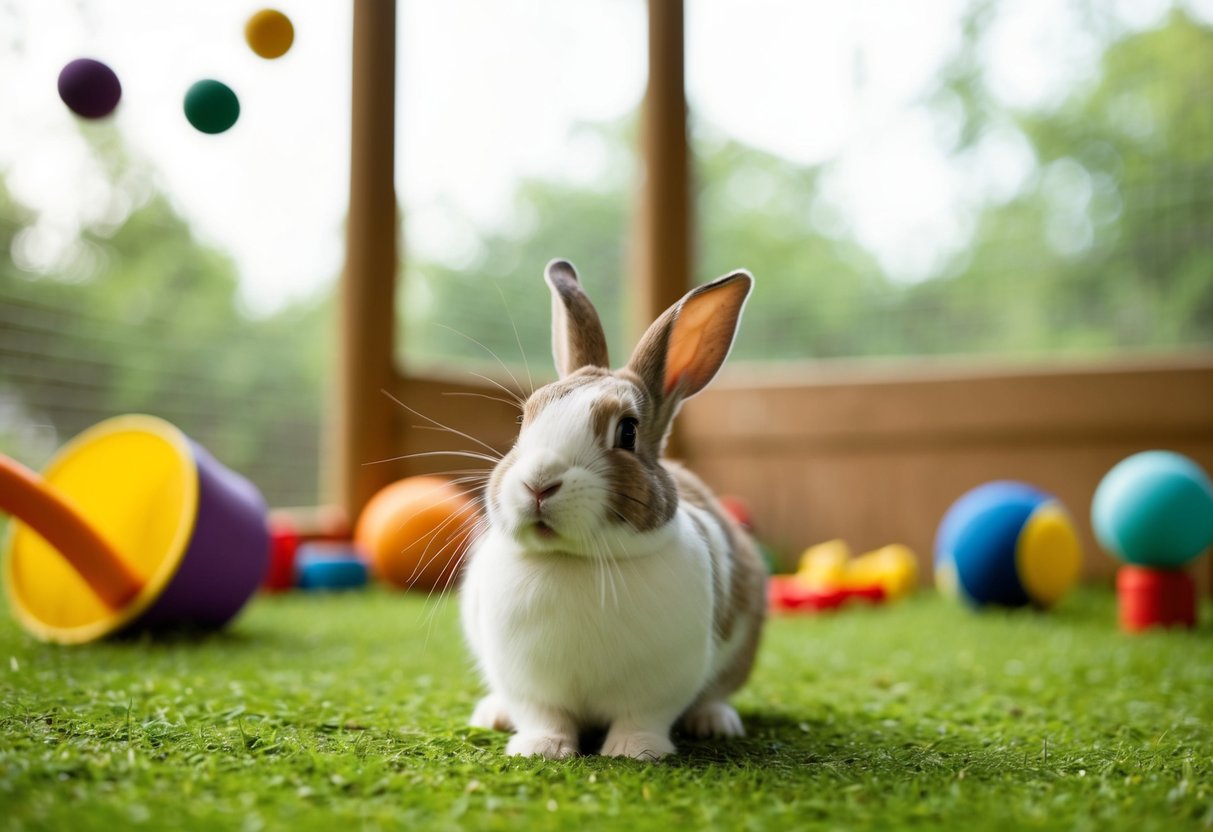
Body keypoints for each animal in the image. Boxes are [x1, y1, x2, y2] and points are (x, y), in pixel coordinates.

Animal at [458, 260, 761, 761]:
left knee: (716, 693)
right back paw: (493, 715)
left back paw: (715, 722)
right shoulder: (529, 685)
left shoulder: (658, 687)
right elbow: (544, 716)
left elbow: (642, 718)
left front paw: (634, 752)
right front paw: (541, 749)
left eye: (628, 432)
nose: (538, 482)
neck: (575, 561)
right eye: (524, 420)